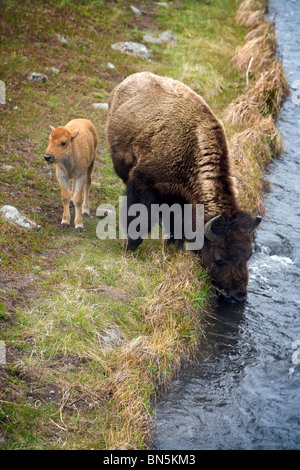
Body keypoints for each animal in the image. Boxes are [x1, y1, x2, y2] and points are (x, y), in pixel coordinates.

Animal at [106, 71, 262, 302]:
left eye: (249, 255)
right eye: (220, 259)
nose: (238, 295)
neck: (193, 150)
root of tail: (131, 79)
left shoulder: (182, 200)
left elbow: (177, 225)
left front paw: (174, 247)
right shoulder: (143, 181)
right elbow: (140, 216)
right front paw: (130, 245)